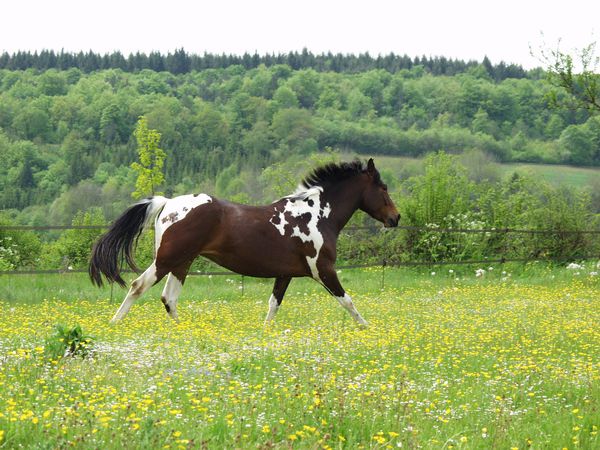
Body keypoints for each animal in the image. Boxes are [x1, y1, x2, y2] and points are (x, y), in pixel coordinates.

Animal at [89, 160, 398, 326]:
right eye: (383, 188)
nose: (395, 218)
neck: (317, 216)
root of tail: (167, 203)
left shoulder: (285, 274)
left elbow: (273, 306)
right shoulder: (323, 270)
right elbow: (348, 302)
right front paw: (367, 329)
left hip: (182, 262)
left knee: (169, 298)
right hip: (167, 259)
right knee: (138, 286)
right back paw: (115, 323)